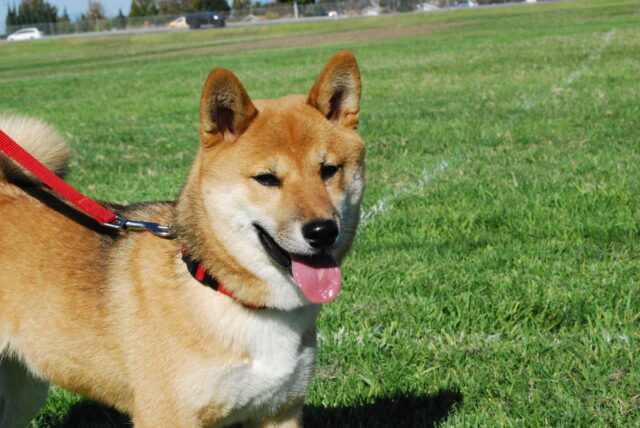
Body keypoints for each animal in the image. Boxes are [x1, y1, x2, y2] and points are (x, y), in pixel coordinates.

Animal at [0, 51, 364, 428]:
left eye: (328, 170)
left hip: (26, 390)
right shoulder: (167, 416)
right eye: (267, 179)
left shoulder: (280, 411)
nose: (323, 231)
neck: (222, 289)